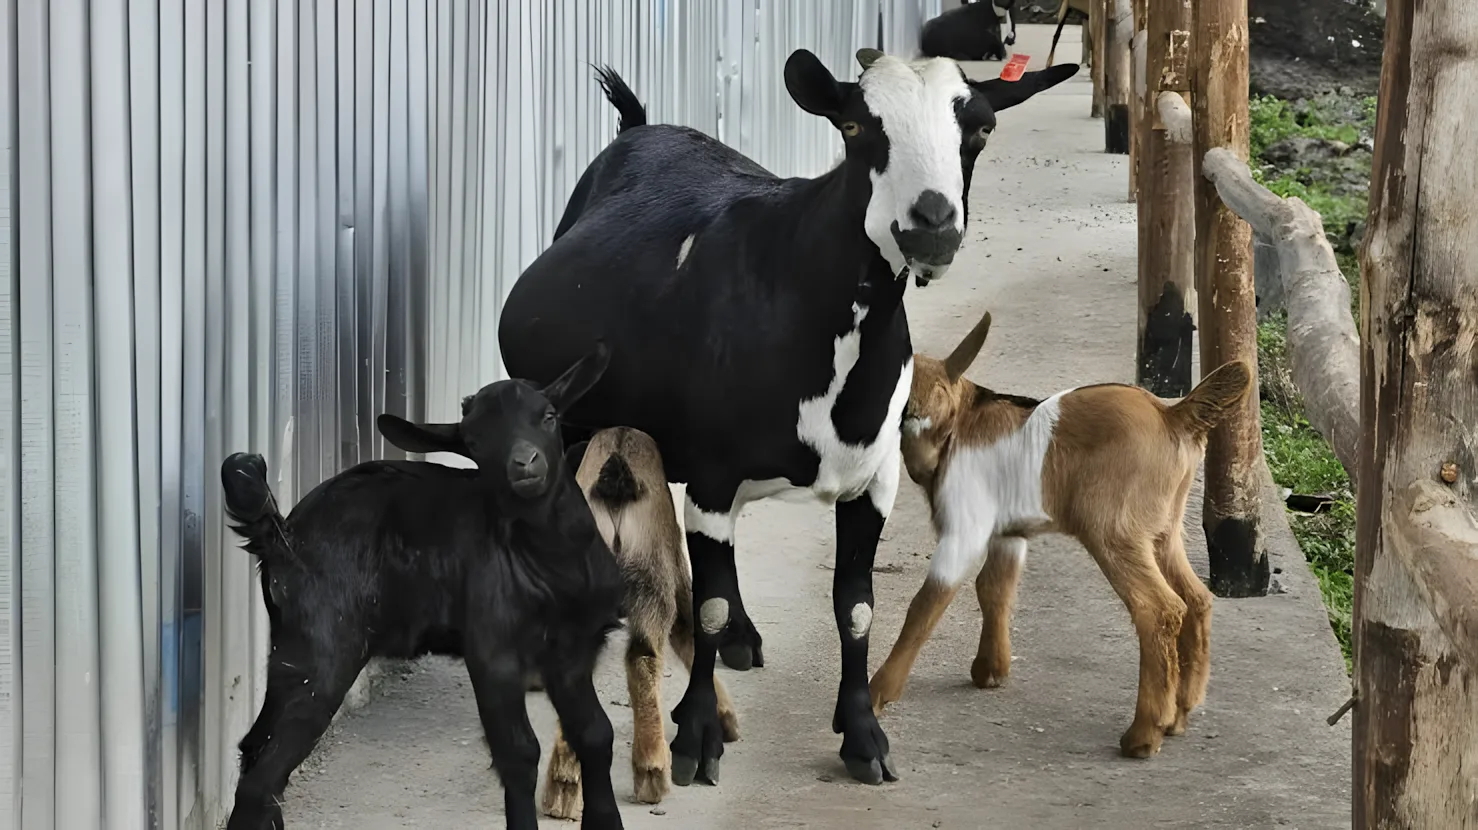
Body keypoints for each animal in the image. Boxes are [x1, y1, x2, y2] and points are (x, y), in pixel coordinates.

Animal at [219, 346, 626, 830]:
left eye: (548, 415)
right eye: (474, 441)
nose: (524, 464)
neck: (550, 562)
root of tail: (283, 537)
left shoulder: (572, 651)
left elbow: (596, 734)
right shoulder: (493, 650)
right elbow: (519, 754)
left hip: (290, 652)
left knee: (255, 749)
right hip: (323, 650)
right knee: (262, 775)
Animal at [498, 49, 1078, 789]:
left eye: (979, 129)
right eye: (856, 126)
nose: (932, 224)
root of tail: (639, 126)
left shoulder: (873, 481)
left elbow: (855, 608)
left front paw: (863, 737)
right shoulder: (715, 474)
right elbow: (710, 608)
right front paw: (696, 739)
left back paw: (746, 639)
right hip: (574, 427)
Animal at [867, 311, 1251, 759]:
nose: (909, 417)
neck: (960, 424)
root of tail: (1172, 416)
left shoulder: (964, 530)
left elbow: (926, 604)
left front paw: (877, 693)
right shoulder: (1008, 534)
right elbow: (994, 589)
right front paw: (991, 669)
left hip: (1114, 530)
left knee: (1159, 609)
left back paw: (1143, 734)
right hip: (1162, 531)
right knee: (1196, 598)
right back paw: (1181, 712)